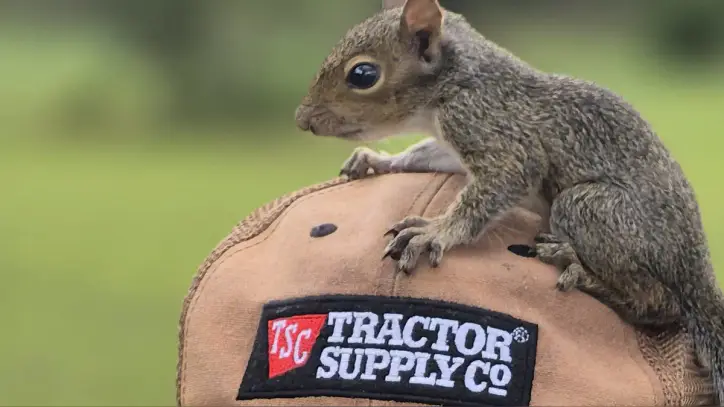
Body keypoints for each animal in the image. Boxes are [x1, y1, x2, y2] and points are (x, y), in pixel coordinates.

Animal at [294, 0, 724, 400]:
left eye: (363, 74)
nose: (302, 120)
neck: (458, 82)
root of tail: (695, 272)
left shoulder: (494, 132)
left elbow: (495, 186)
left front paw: (434, 231)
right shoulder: (454, 144)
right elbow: (425, 155)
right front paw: (377, 160)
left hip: (588, 209)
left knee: (658, 303)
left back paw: (577, 266)